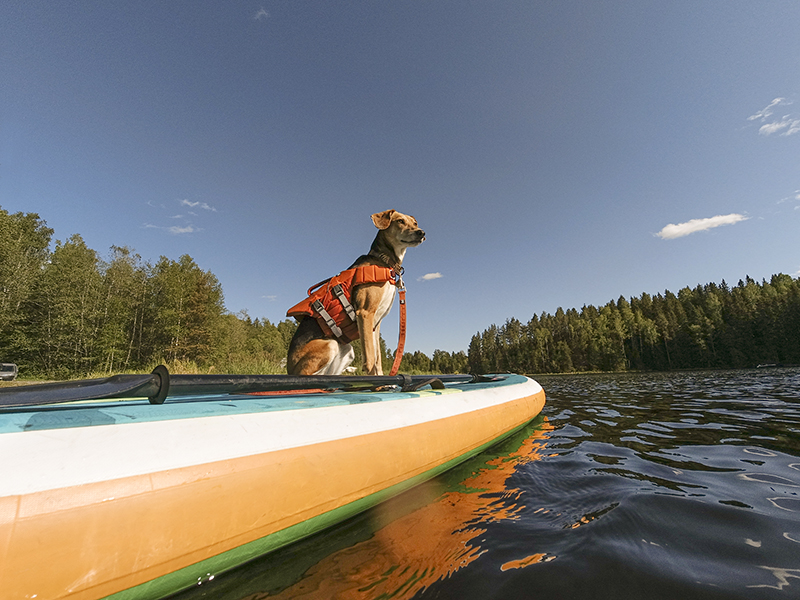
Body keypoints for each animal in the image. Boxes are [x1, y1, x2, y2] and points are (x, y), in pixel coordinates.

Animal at [288, 210, 424, 376]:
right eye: (400, 221)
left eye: (415, 223)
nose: (421, 232)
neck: (384, 262)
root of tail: (289, 368)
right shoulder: (364, 313)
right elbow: (370, 359)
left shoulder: (375, 324)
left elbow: (377, 359)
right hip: (329, 345)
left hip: (347, 350)